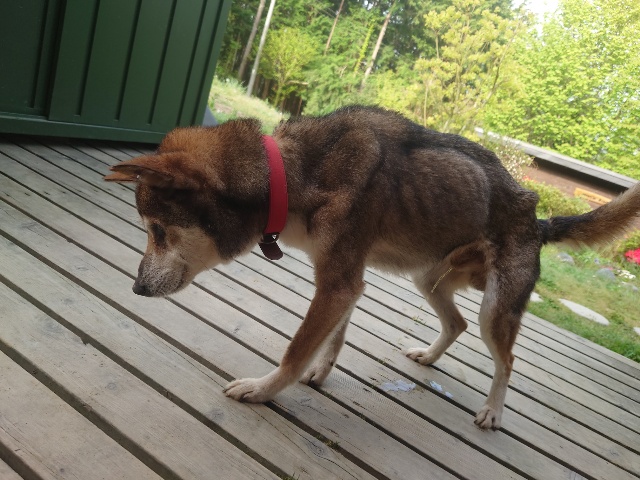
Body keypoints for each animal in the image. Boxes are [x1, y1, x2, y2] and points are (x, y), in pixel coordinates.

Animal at [104, 106, 640, 429]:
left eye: (156, 230)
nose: (135, 289)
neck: (291, 174)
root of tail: (537, 214)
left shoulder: (339, 282)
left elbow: (295, 351)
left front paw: (262, 390)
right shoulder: (344, 283)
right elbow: (333, 338)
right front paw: (321, 373)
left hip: (496, 308)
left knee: (505, 360)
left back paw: (491, 411)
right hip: (429, 280)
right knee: (457, 323)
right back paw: (429, 357)